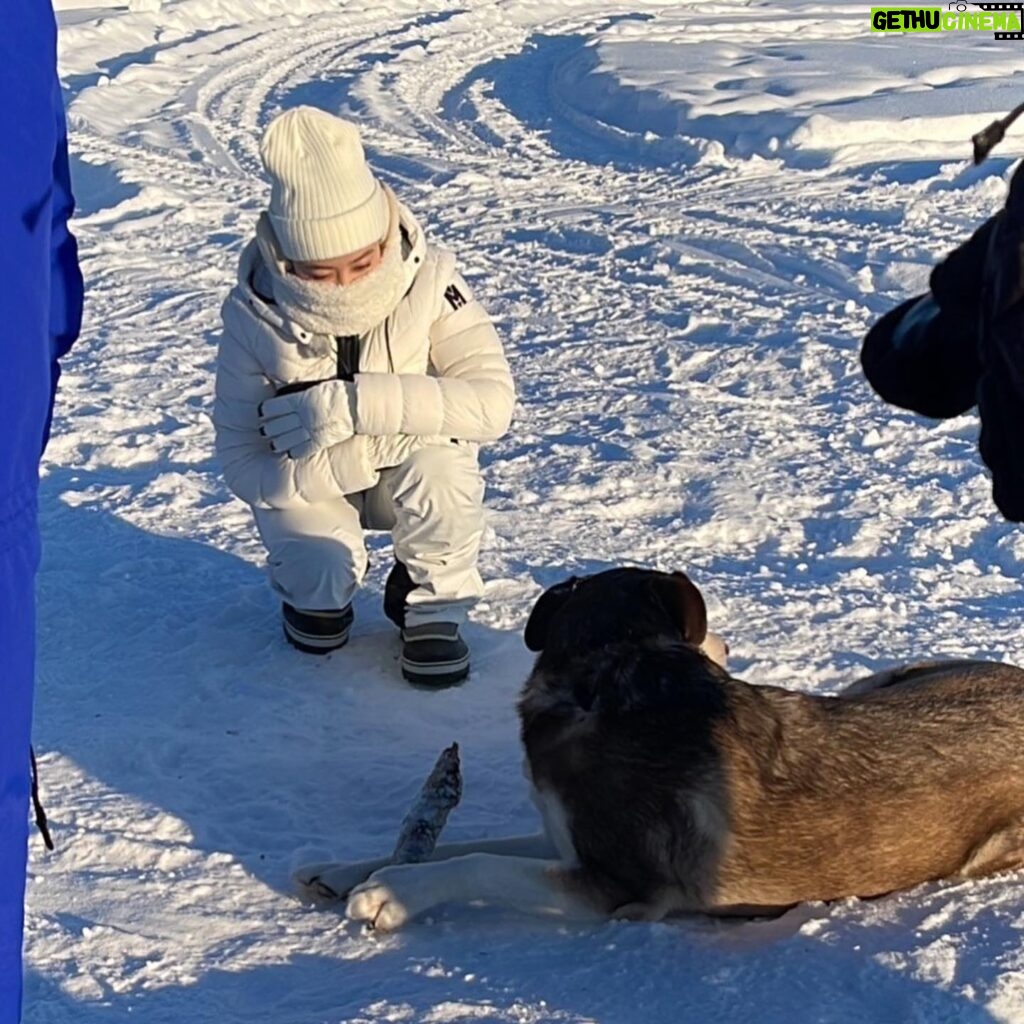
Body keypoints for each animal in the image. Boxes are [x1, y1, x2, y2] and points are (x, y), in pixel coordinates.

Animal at [294, 569, 1024, 929]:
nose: (728, 644)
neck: (604, 678)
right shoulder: (566, 838)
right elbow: (475, 845)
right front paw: (350, 869)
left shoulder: (615, 886)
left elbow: (480, 865)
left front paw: (392, 894)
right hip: (890, 678)